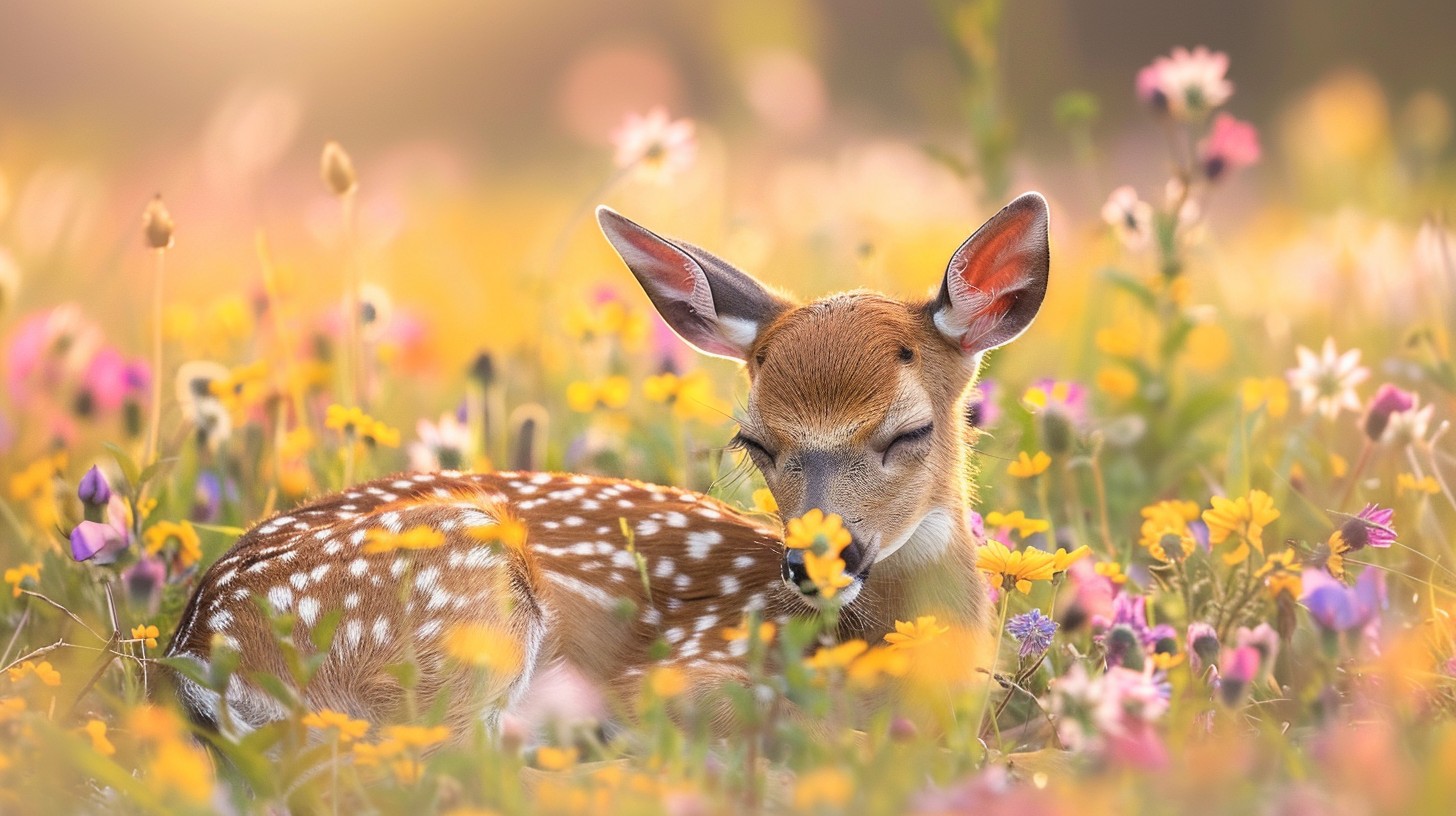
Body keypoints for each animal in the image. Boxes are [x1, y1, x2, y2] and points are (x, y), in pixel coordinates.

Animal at [165, 192, 1051, 741]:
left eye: (910, 432)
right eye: (756, 442)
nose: (816, 561)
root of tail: (196, 645)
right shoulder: (693, 672)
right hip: (457, 600)